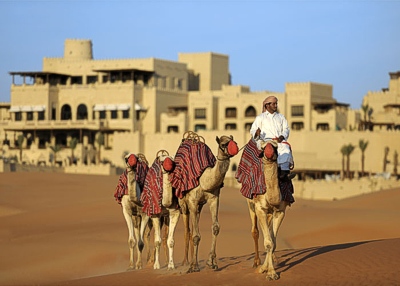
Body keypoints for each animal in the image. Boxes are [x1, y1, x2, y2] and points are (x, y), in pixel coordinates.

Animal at [173, 132, 238, 272]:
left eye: (233, 141)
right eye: (223, 144)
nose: (235, 148)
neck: (204, 180)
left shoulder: (213, 198)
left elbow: (215, 228)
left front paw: (211, 262)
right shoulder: (192, 201)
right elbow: (196, 235)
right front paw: (194, 266)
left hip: (199, 207)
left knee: (193, 227)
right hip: (184, 205)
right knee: (187, 230)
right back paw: (186, 262)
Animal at [238, 140, 294, 280]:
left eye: (275, 146)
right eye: (263, 148)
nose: (268, 153)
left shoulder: (280, 211)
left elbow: (272, 241)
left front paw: (269, 270)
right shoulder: (260, 209)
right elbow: (268, 242)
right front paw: (266, 270)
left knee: (269, 231)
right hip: (250, 205)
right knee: (255, 231)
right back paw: (256, 262)